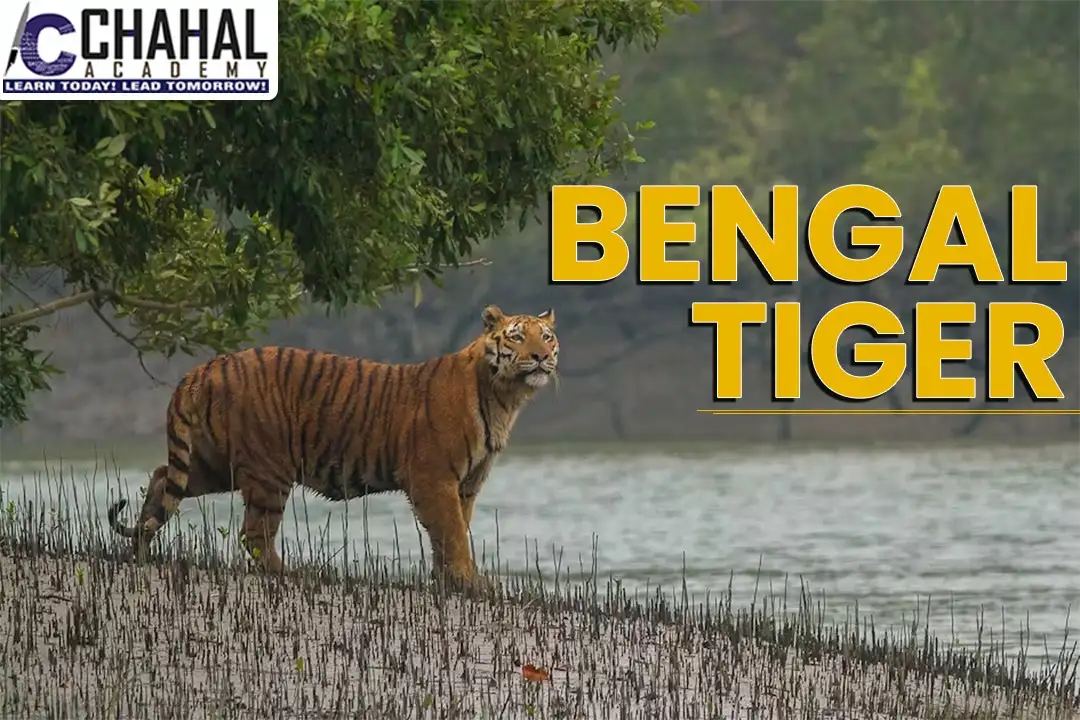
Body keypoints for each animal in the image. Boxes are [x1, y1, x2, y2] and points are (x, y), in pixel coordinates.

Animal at [107, 304, 559, 591]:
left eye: (547, 337)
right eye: (518, 337)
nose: (540, 357)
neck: (505, 397)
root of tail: (205, 367)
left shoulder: (465, 484)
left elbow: (453, 533)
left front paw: (449, 580)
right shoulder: (434, 478)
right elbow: (452, 533)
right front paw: (470, 582)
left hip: (214, 463)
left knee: (162, 479)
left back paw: (138, 550)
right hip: (269, 469)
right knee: (254, 533)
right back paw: (291, 574)